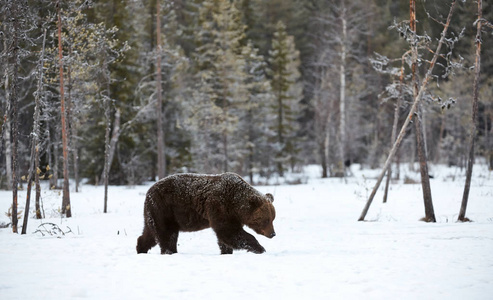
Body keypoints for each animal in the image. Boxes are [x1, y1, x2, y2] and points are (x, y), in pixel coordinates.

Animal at [136, 172, 274, 254]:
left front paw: (226, 251)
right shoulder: (220, 207)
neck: (236, 204)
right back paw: (170, 251)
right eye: (266, 219)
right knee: (166, 234)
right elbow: (229, 232)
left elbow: (226, 237)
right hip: (164, 209)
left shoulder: (231, 215)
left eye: (273, 218)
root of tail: (148, 191)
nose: (273, 233)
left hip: (154, 212)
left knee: (150, 233)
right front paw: (260, 248)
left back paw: (141, 248)